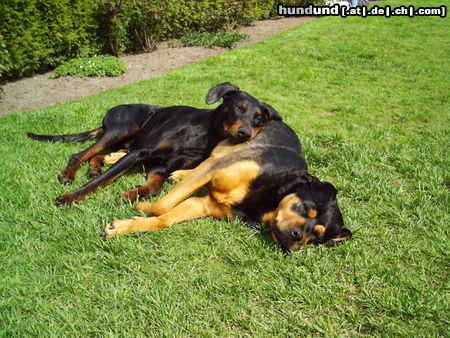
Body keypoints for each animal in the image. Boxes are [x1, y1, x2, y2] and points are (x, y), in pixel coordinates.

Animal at [26, 83, 280, 207]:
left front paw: (132, 194)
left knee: (102, 154)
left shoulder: (165, 166)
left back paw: (95, 166)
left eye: (259, 119)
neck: (205, 133)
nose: (245, 133)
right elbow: (100, 181)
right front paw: (70, 197)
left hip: (126, 140)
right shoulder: (141, 152)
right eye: (239, 107)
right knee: (82, 153)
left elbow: (156, 186)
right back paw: (69, 173)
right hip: (122, 127)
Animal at [105, 120, 352, 252]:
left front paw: (126, 226)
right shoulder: (215, 168)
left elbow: (163, 219)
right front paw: (141, 207)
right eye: (305, 208)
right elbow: (163, 205)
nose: (296, 237)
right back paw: (113, 156)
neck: (271, 193)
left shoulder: (202, 204)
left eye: (315, 239)